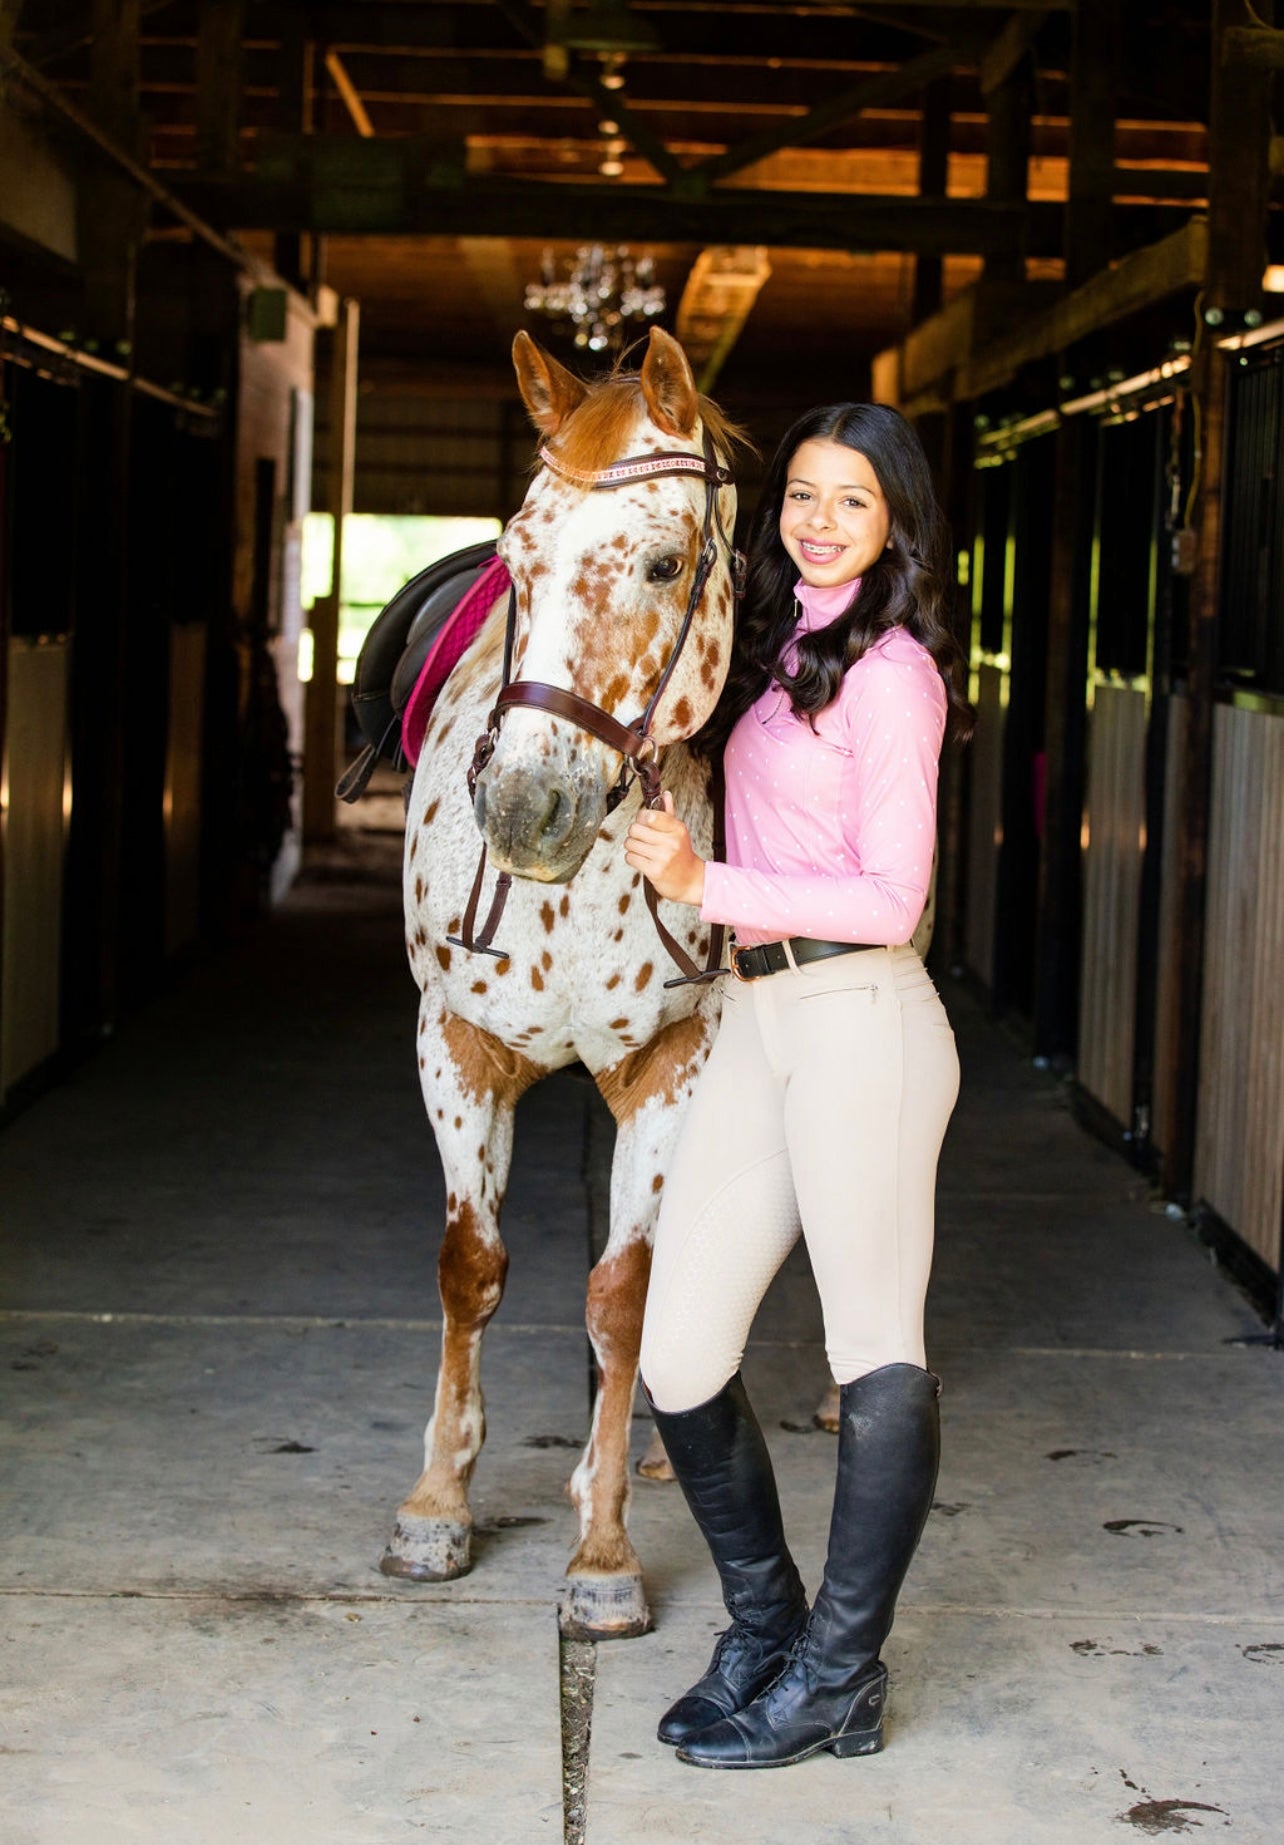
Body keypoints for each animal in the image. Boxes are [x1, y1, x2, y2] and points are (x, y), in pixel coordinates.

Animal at [381, 324, 741, 1638]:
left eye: (665, 562)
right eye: (517, 556)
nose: (527, 808)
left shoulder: (675, 1070)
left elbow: (623, 1298)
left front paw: (602, 1552)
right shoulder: (456, 1047)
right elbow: (470, 1267)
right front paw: (436, 1505)